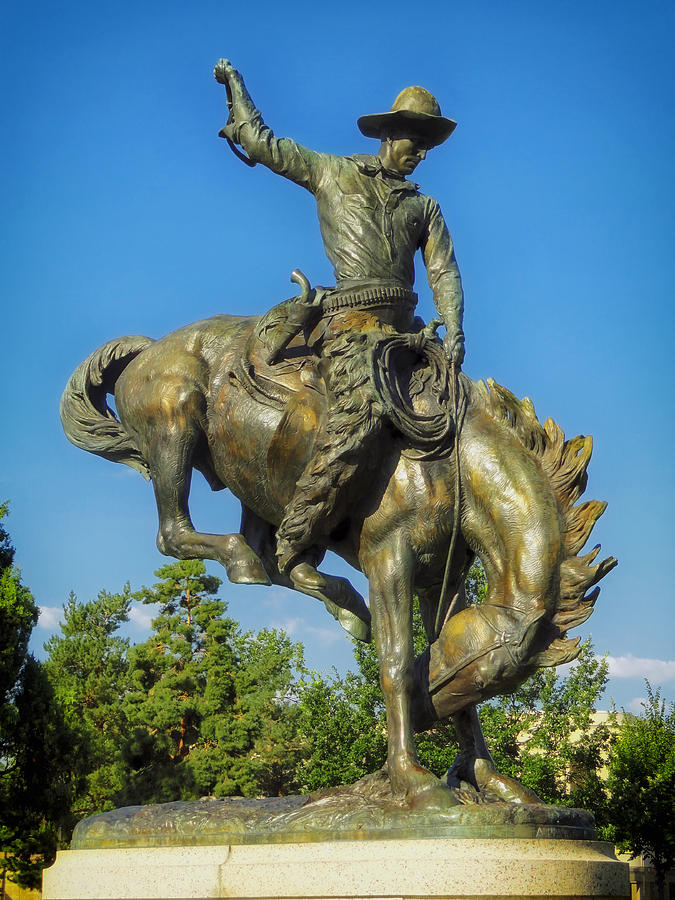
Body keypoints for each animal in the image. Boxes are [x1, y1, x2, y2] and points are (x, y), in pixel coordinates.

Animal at [63, 308, 616, 808]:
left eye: (490, 680)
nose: (425, 711)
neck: (448, 466)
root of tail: (151, 348)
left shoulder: (443, 582)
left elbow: (462, 703)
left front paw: (490, 782)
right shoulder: (389, 559)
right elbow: (395, 663)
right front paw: (413, 780)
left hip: (255, 482)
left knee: (273, 556)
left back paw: (339, 602)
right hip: (173, 433)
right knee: (179, 536)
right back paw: (264, 570)